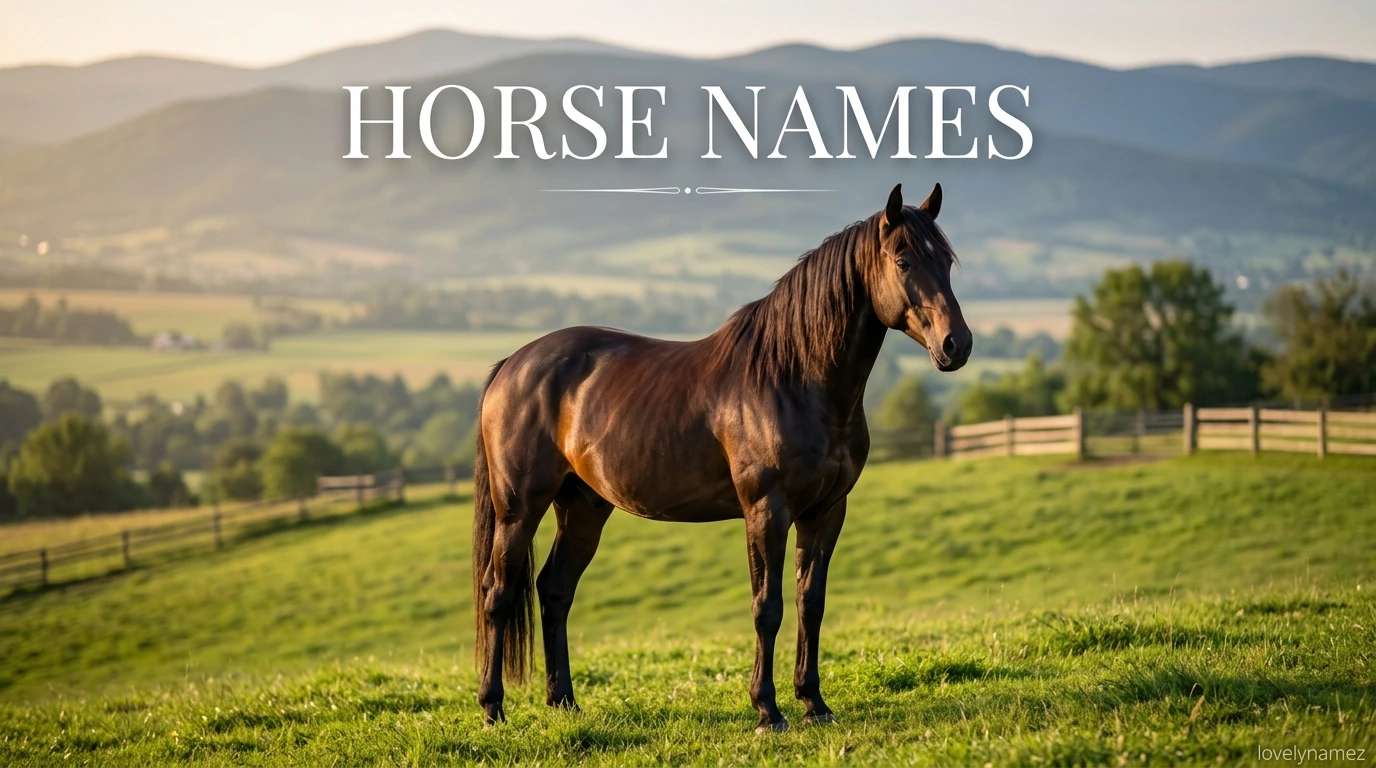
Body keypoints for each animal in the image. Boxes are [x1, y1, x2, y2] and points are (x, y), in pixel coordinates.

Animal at [471, 182, 972, 732]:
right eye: (903, 260)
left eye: (946, 260)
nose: (957, 344)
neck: (793, 377)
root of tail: (511, 365)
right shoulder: (766, 510)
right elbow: (767, 607)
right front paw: (767, 710)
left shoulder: (826, 512)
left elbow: (811, 603)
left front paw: (814, 704)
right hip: (519, 509)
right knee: (497, 593)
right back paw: (493, 707)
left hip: (582, 507)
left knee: (555, 590)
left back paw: (564, 701)